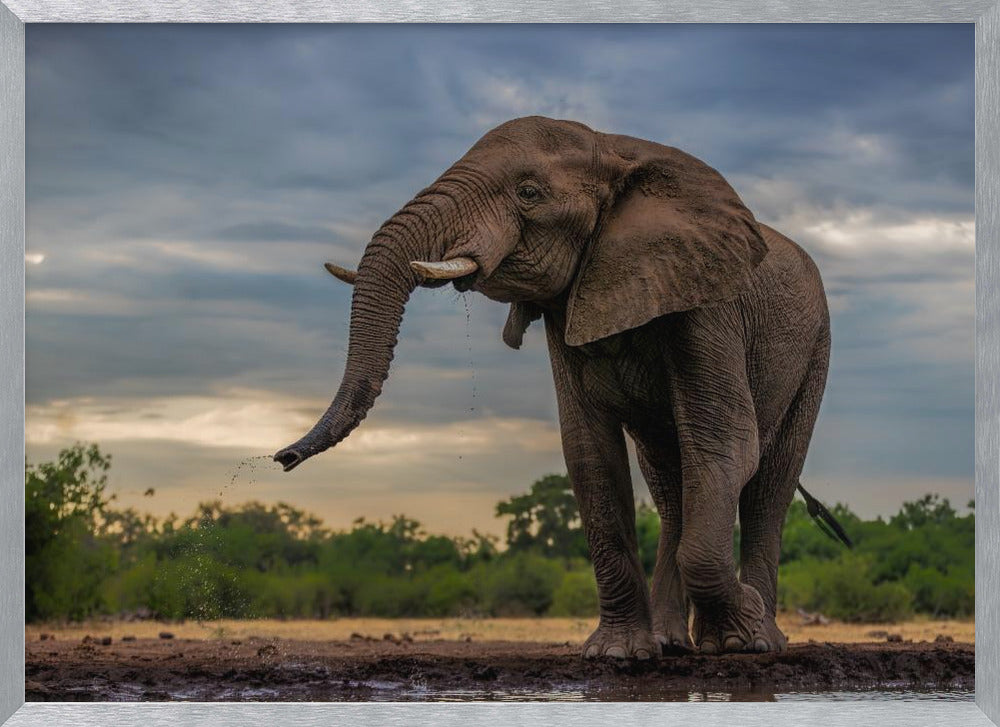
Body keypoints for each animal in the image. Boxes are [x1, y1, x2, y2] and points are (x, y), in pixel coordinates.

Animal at [274, 116, 834, 659]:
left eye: (528, 193)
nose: (282, 458)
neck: (613, 148)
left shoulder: (706, 302)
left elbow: (725, 442)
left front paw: (742, 628)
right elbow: (589, 453)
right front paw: (616, 654)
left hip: (816, 350)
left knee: (768, 485)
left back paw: (760, 640)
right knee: (670, 482)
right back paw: (673, 643)